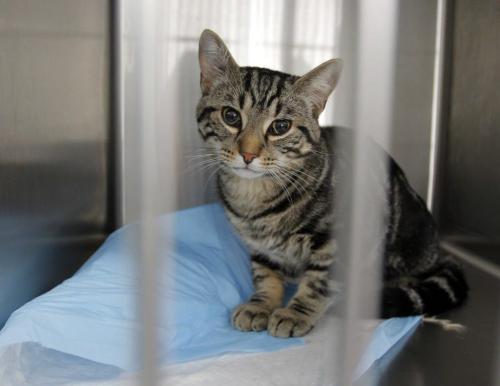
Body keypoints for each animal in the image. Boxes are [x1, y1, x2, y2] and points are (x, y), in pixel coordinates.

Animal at [193, 30, 466, 338]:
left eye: (280, 127)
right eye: (231, 116)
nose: (248, 154)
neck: (255, 200)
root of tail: (439, 251)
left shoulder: (339, 242)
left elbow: (318, 282)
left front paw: (296, 313)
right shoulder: (259, 247)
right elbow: (265, 274)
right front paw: (260, 304)